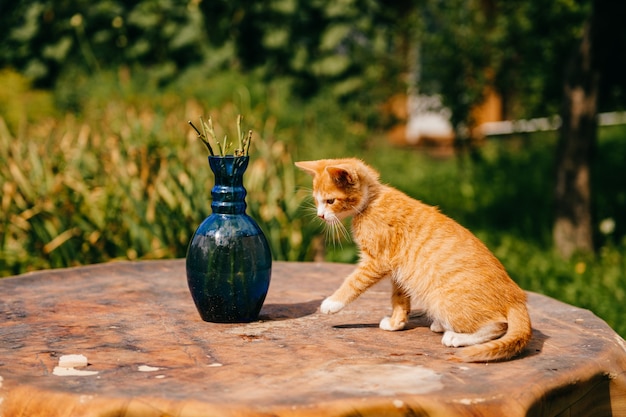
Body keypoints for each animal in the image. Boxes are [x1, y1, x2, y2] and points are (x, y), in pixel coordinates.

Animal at [294, 158, 528, 360]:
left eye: (330, 201)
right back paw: (441, 325)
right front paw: (396, 323)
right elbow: (399, 298)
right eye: (316, 201)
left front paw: (332, 303)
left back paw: (456, 337)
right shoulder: (399, 268)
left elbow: (353, 282)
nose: (320, 215)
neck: (372, 201)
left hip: (443, 298)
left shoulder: (376, 262)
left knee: (498, 324)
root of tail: (516, 297)